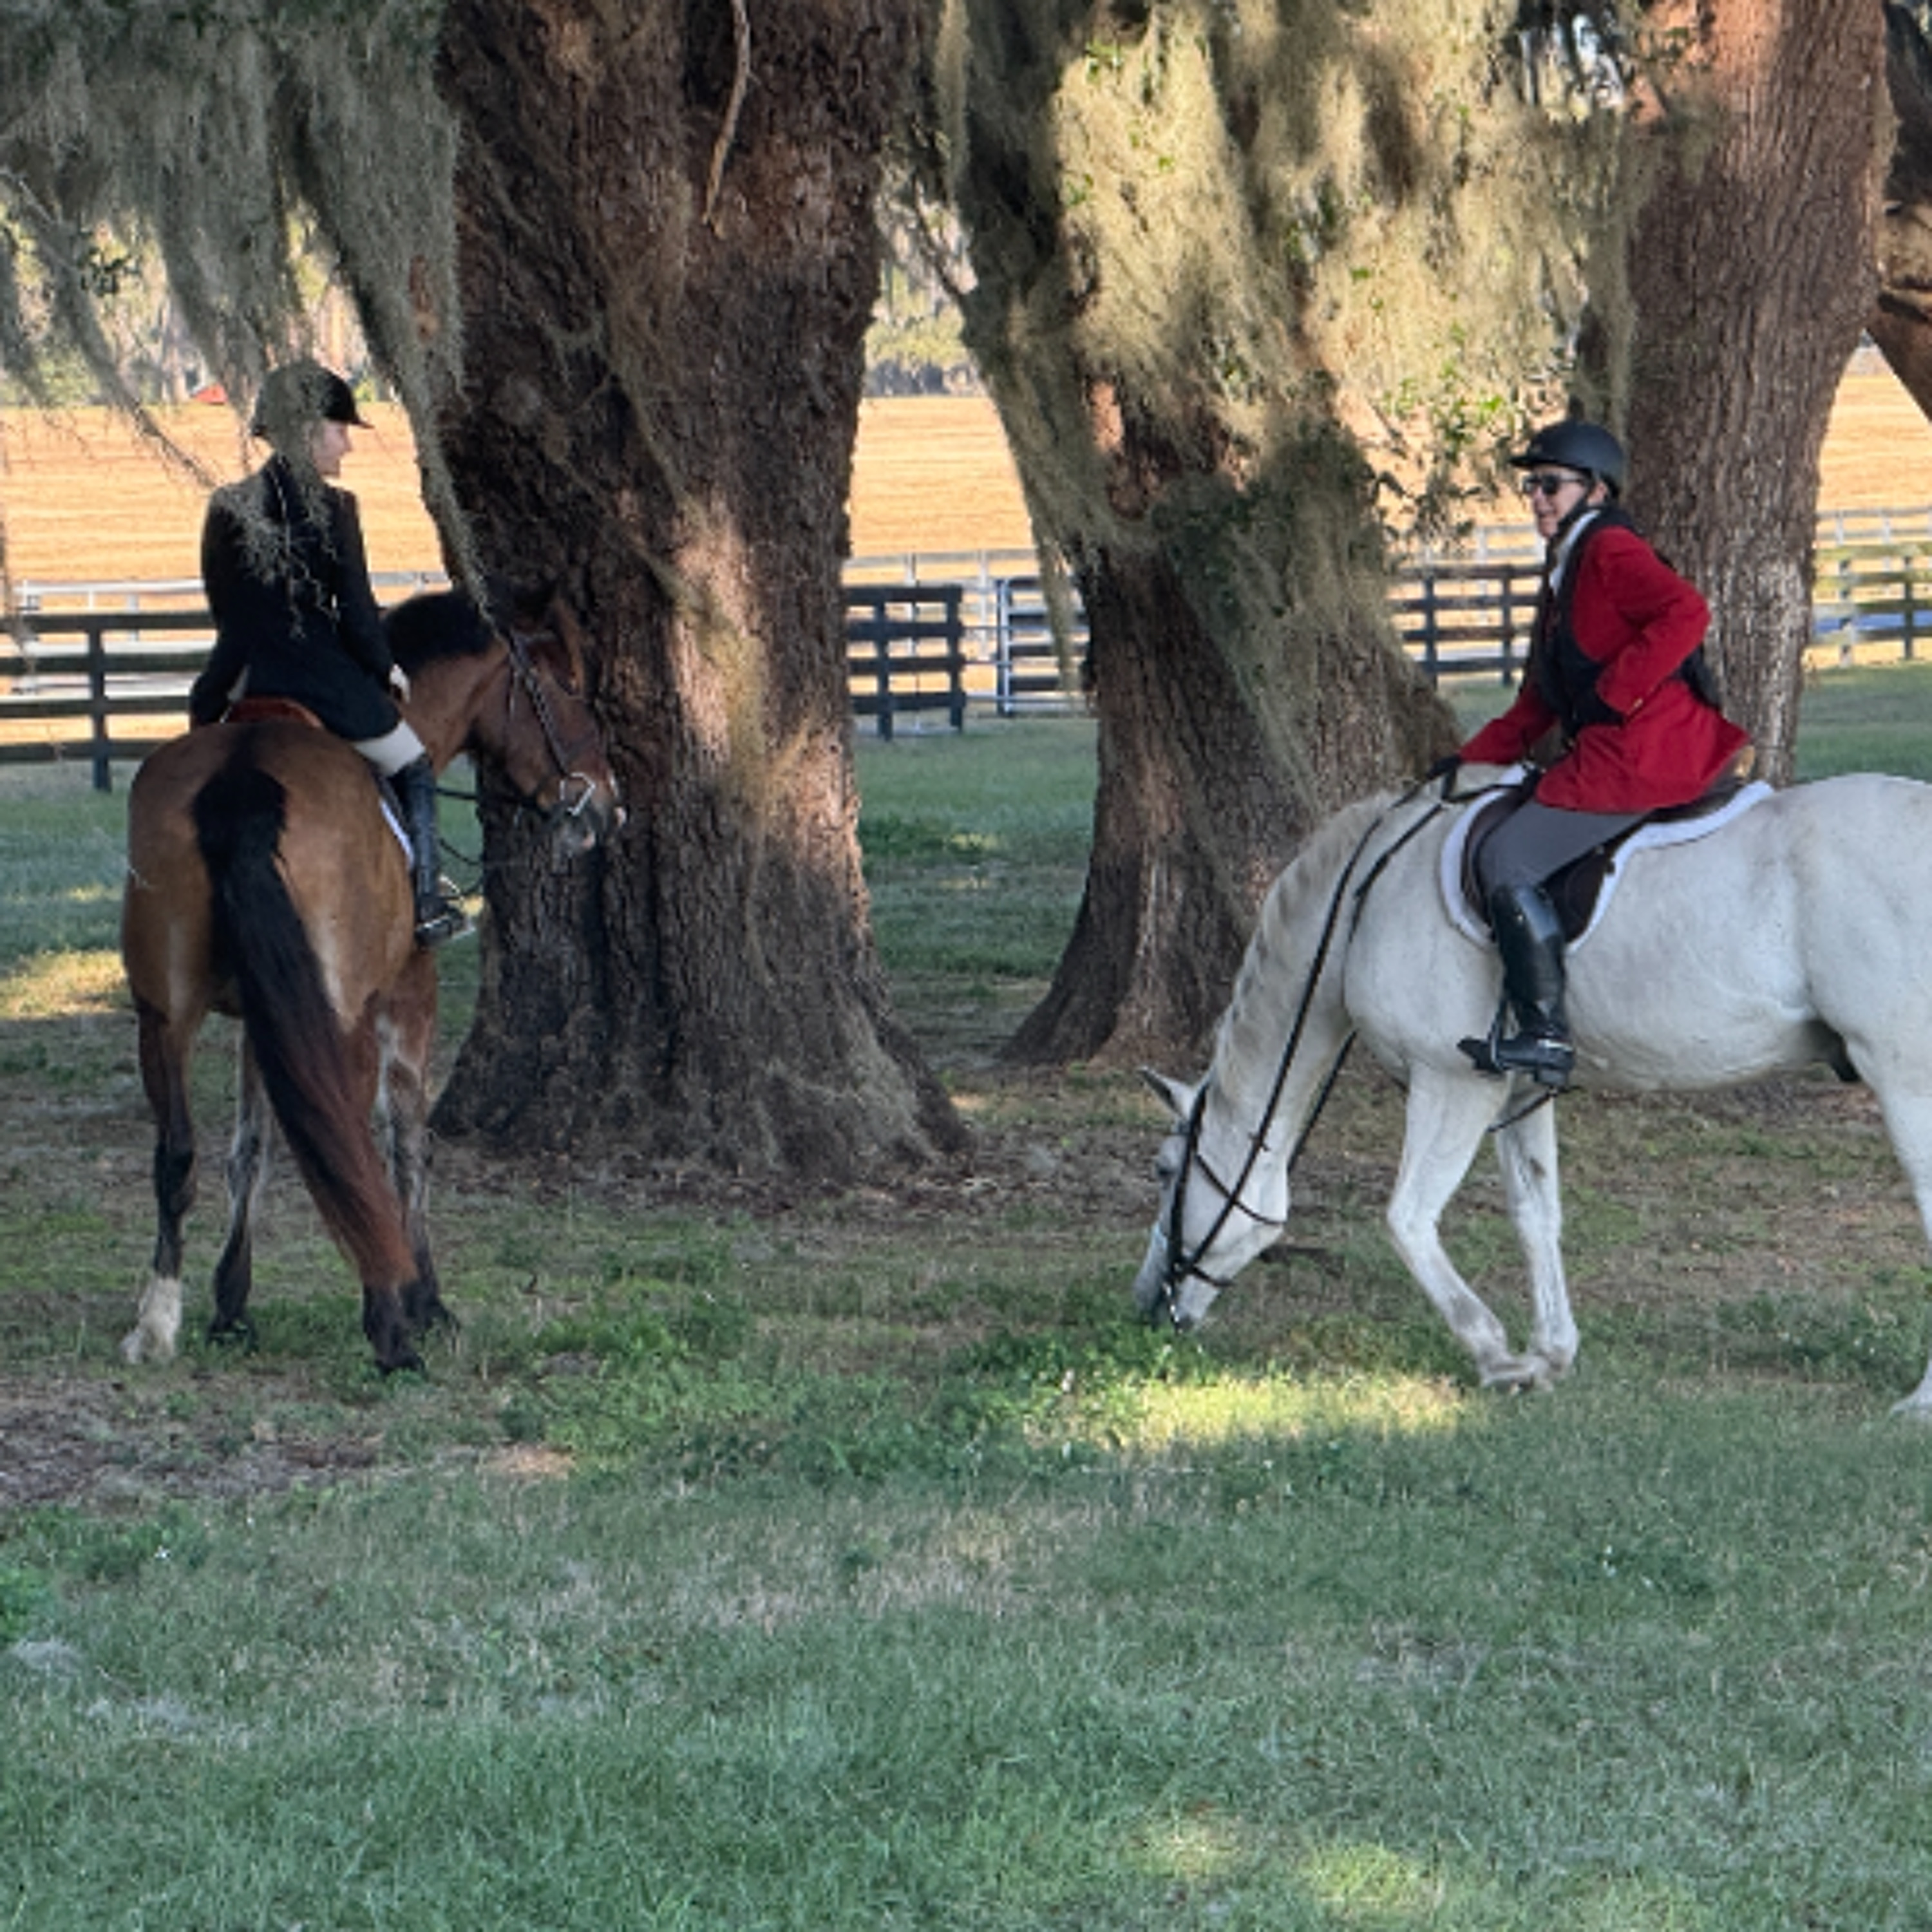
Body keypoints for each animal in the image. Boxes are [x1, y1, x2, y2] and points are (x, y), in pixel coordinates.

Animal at [119, 588, 622, 1374]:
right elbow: (408, 1144)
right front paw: (429, 1302)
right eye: (569, 688)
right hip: (343, 1015)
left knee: (178, 1155)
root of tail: (243, 778)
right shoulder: (407, 1000)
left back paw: (156, 1324)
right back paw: (391, 1328)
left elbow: (251, 1147)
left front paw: (231, 1305)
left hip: (164, 1016)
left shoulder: (265, 1015)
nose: (606, 804)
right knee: (350, 1144)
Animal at [1132, 767, 1932, 1418]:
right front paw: (1550, 1354)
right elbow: (1536, 1215)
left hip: (1904, 1077)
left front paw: (1497, 1356)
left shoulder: (1451, 1084)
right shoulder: (1515, 1088)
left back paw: (1920, 1402)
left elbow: (1408, 1220)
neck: (1372, 897)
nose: (1148, 1305)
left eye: (1167, 1172)